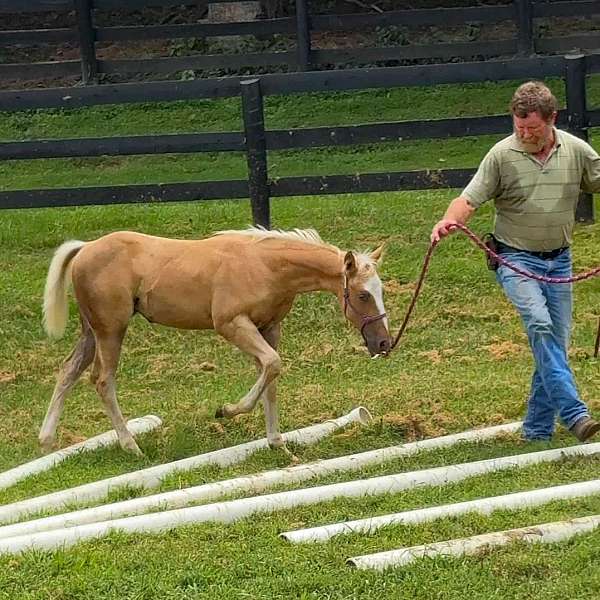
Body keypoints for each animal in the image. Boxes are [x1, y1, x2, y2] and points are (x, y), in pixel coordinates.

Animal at [41, 229, 390, 454]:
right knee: (102, 380)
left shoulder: (269, 328)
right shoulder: (232, 324)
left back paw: (46, 442)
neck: (266, 265)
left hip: (92, 331)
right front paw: (226, 410)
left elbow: (271, 377)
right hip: (111, 330)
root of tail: (85, 247)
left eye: (381, 290)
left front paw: (277, 442)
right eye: (362, 294)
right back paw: (131, 446)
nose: (384, 344)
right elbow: (272, 364)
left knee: (68, 371)